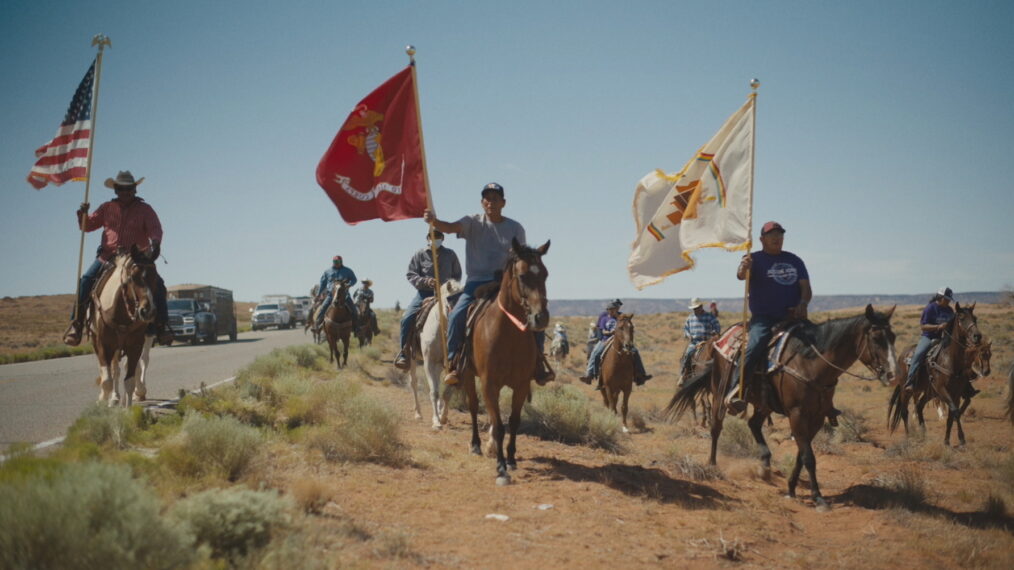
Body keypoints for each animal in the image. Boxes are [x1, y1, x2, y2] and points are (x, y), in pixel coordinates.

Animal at [90, 246, 158, 405]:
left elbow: (130, 380)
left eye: (155, 277)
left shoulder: (135, 345)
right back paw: (113, 397)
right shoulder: (103, 345)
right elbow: (107, 380)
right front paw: (105, 400)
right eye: (133, 277)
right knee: (111, 370)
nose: (148, 311)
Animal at [407, 277, 464, 428]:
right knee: (414, 383)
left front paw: (443, 417)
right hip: (413, 359)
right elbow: (434, 392)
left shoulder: (452, 367)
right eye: (449, 303)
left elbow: (447, 393)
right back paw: (418, 414)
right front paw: (436, 421)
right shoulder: (429, 363)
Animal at [460, 237, 551, 480]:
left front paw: (510, 459)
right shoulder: (489, 383)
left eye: (545, 274)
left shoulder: (521, 385)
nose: (541, 317)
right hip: (468, 374)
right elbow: (499, 425)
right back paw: (476, 444)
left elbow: (513, 422)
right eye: (522, 276)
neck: (509, 335)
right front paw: (500, 466)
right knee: (474, 406)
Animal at [665, 304, 896, 507]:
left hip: (763, 402)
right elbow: (808, 456)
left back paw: (765, 464)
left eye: (893, 337)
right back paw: (712, 463)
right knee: (716, 426)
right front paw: (817, 496)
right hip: (719, 392)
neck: (811, 363)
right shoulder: (797, 414)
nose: (893, 374)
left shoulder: (817, 416)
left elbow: (802, 454)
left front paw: (791, 488)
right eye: (876, 338)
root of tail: (719, 340)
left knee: (753, 424)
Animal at [888, 302, 981, 444]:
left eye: (974, 318)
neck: (949, 360)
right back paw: (909, 436)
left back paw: (923, 433)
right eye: (961, 318)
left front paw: (947, 441)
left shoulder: (956, 393)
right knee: (904, 411)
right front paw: (961, 438)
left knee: (919, 406)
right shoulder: (941, 388)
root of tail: (902, 355)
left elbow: (952, 415)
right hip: (907, 390)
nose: (977, 336)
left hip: (929, 392)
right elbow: (955, 411)